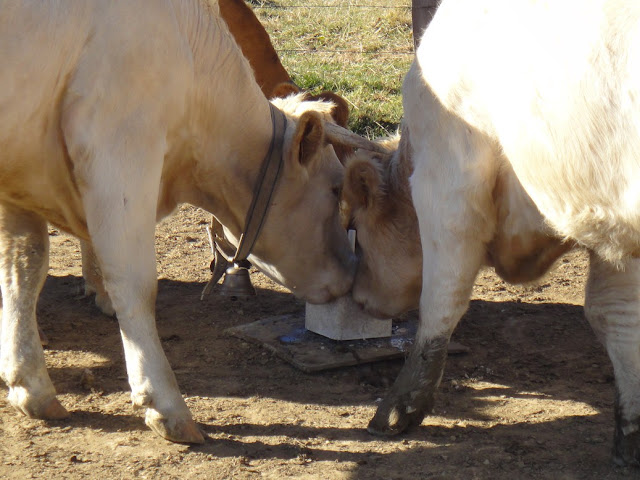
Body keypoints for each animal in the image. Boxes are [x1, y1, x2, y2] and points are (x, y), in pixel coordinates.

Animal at [0, 0, 378, 444]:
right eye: (336, 188)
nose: (352, 270)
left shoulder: (20, 176)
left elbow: (23, 270)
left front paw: (30, 385)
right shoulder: (121, 150)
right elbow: (134, 284)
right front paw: (165, 405)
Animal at [342, 0, 640, 466]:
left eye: (355, 225)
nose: (357, 295)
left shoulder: (448, 180)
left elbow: (440, 300)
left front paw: (399, 407)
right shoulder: (613, 225)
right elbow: (618, 316)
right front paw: (629, 438)